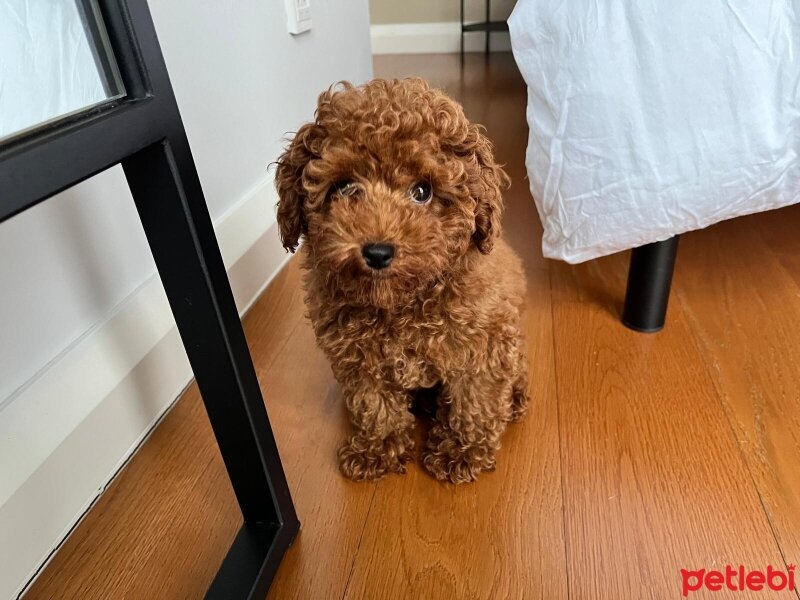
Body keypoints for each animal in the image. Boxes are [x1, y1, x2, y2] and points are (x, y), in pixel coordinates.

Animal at [276, 78, 532, 482]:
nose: (378, 252)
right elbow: (374, 402)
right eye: (345, 188)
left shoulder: (484, 343)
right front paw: (377, 448)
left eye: (422, 191)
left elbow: (476, 398)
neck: (401, 302)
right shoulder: (357, 354)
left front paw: (461, 450)